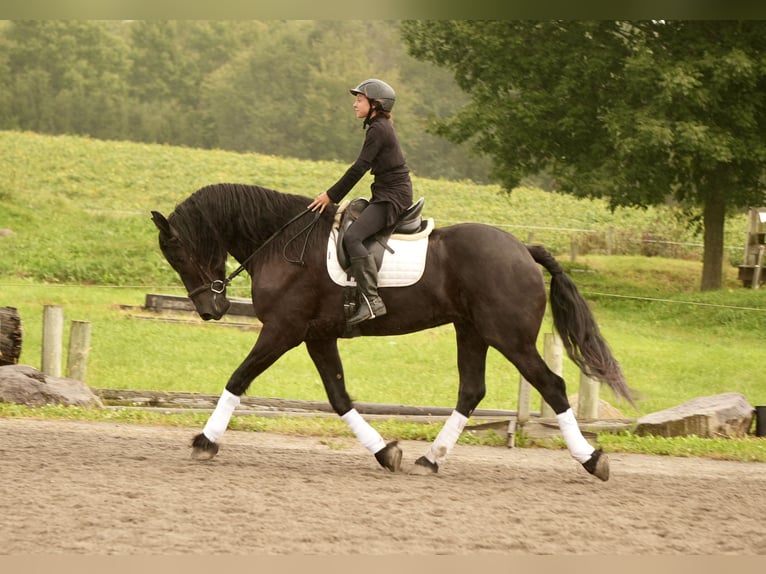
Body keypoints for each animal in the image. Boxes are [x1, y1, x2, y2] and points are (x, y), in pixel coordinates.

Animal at [151, 183, 632, 481]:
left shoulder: (283, 330)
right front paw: (386, 452)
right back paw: (429, 460)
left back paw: (592, 459)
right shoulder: (316, 335)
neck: (284, 246)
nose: (210, 310)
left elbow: (238, 379)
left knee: (551, 385)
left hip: (508, 337)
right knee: (471, 391)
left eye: (179, 253)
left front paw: (204, 441)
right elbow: (339, 396)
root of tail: (523, 250)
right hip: (472, 331)